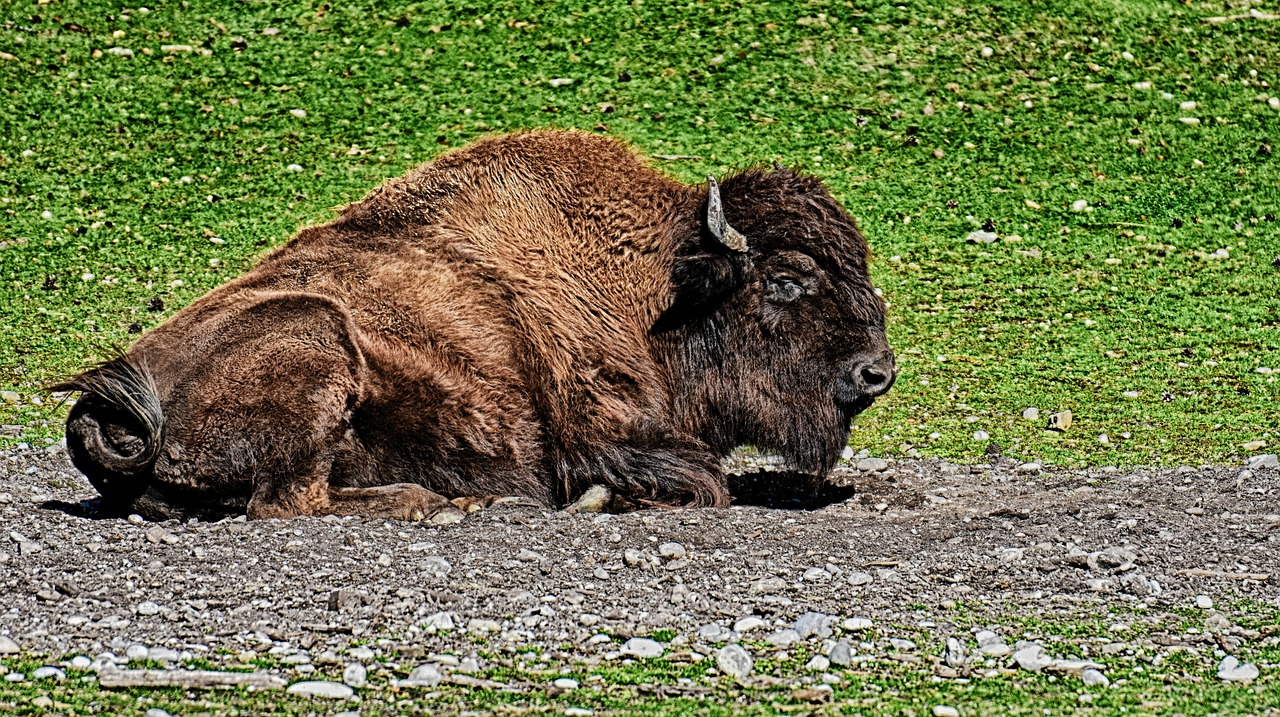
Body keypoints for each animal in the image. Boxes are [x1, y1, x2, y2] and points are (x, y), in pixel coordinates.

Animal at [60, 129, 896, 519]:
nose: (877, 371)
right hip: (318, 338)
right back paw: (444, 502)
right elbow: (702, 482)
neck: (659, 288)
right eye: (786, 280)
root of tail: (107, 408)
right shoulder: (607, 434)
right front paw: (594, 499)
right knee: (288, 501)